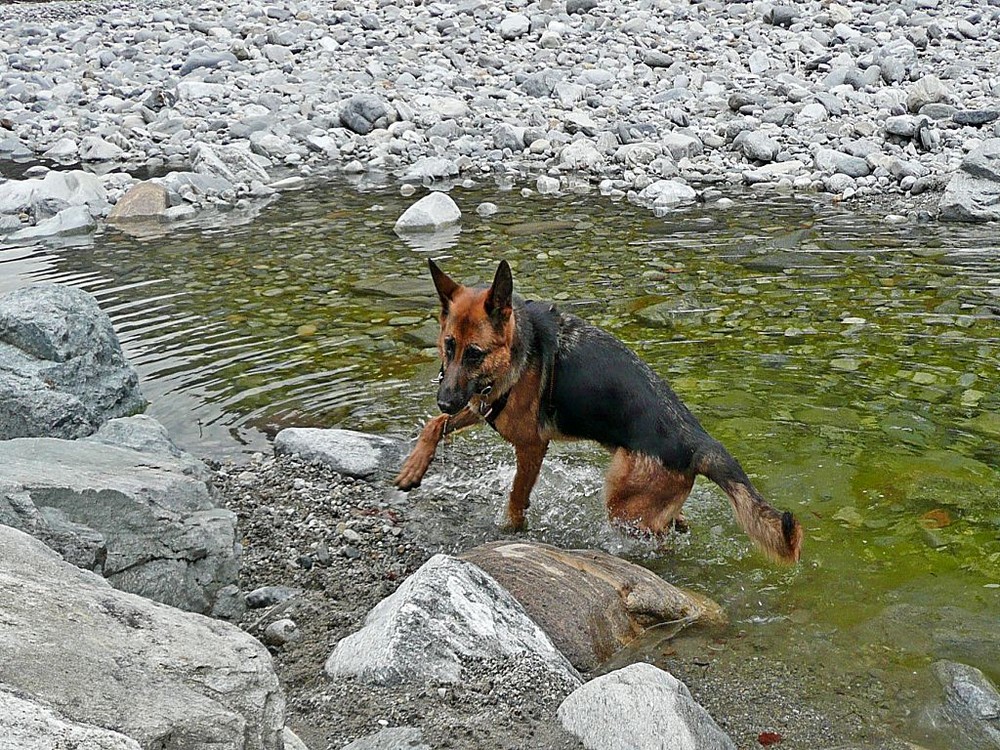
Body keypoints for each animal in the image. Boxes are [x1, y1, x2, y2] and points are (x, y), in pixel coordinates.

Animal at [394, 262, 800, 560]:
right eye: (448, 346)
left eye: (474, 353)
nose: (444, 398)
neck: (519, 347)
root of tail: (698, 442)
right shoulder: (478, 405)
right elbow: (434, 424)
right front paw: (413, 467)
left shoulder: (530, 446)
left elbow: (515, 499)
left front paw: (508, 532)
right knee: (672, 522)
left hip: (624, 508)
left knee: (659, 540)